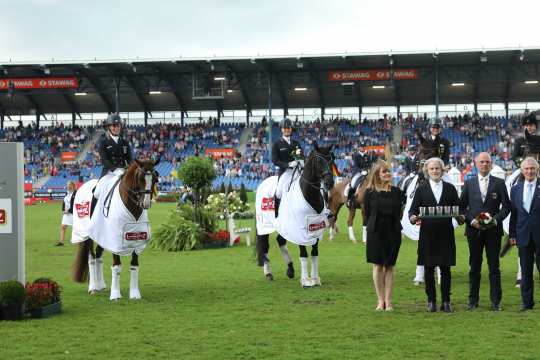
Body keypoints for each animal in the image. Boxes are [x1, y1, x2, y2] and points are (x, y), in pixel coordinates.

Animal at [71, 160, 158, 300]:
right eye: (140, 177)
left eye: (155, 178)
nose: (145, 203)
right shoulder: (115, 240)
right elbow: (116, 266)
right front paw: (115, 294)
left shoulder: (136, 239)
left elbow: (134, 265)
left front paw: (135, 294)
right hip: (87, 236)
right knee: (91, 258)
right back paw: (93, 288)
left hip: (101, 234)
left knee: (98, 256)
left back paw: (100, 285)